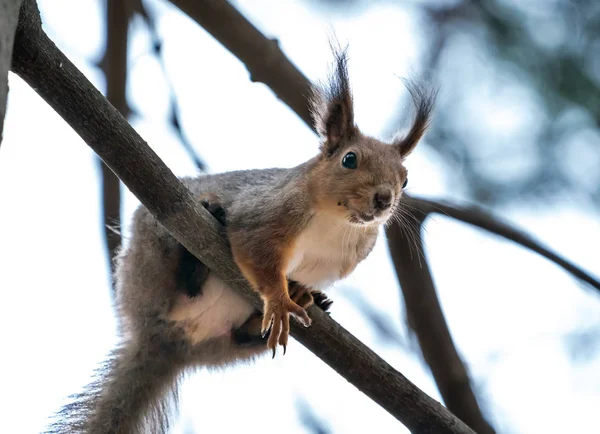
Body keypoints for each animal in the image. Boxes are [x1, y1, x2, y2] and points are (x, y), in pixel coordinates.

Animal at [49, 47, 434, 434]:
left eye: (404, 179)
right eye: (349, 159)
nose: (384, 199)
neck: (337, 223)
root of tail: (164, 341)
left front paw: (297, 291)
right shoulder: (265, 214)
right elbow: (255, 250)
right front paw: (279, 299)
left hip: (224, 346)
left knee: (239, 338)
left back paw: (280, 315)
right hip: (151, 258)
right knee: (178, 278)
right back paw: (195, 261)